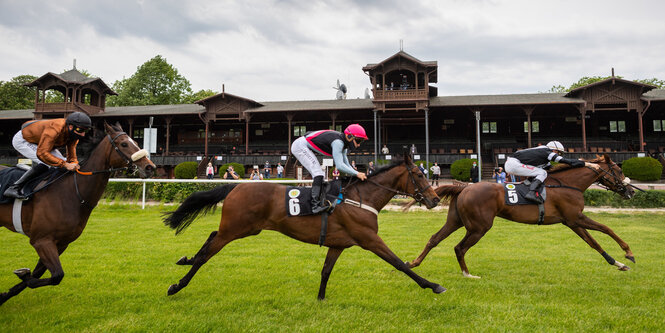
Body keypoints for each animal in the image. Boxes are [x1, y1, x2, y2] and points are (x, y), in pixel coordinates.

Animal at [0, 121, 154, 304]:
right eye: (124, 144)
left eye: (136, 142)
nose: (150, 167)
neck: (71, 192)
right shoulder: (41, 240)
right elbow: (56, 275)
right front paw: (22, 275)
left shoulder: (61, 243)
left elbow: (41, 274)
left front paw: (5, 294)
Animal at [161, 154, 444, 300]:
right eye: (419, 175)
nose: (435, 199)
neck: (361, 198)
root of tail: (236, 185)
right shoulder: (369, 239)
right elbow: (398, 263)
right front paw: (433, 285)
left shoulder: (338, 244)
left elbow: (326, 271)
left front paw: (320, 298)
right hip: (236, 229)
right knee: (208, 253)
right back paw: (177, 285)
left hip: (243, 228)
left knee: (211, 236)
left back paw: (186, 259)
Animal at [404, 155, 632, 278]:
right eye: (619, 170)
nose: (631, 191)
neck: (568, 184)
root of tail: (464, 188)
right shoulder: (575, 218)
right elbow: (607, 229)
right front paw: (628, 253)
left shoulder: (571, 221)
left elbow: (594, 243)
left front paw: (618, 264)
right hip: (479, 227)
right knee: (459, 248)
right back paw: (468, 274)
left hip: (456, 221)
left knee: (434, 239)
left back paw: (413, 263)